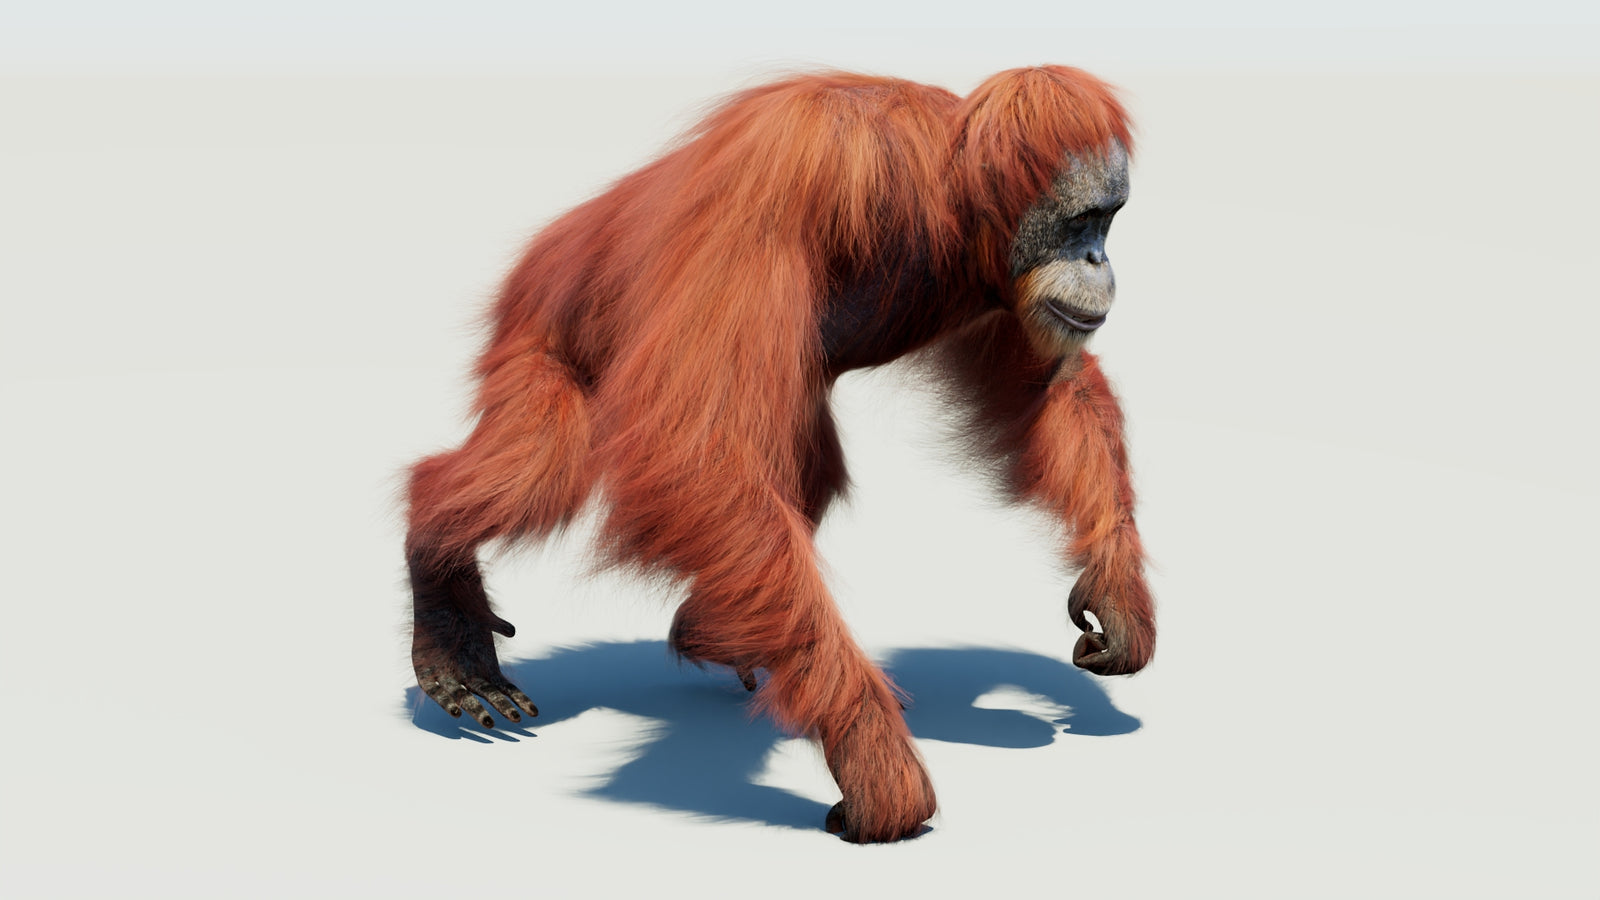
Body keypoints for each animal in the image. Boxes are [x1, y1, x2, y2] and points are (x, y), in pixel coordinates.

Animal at [404, 66, 1155, 843]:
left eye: (1108, 221)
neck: (942, 195)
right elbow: (695, 449)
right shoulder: (790, 172)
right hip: (540, 328)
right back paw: (443, 581)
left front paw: (1116, 588)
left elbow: (1047, 386)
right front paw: (873, 760)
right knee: (543, 468)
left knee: (801, 472)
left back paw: (713, 631)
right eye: (1080, 222)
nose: (1099, 259)